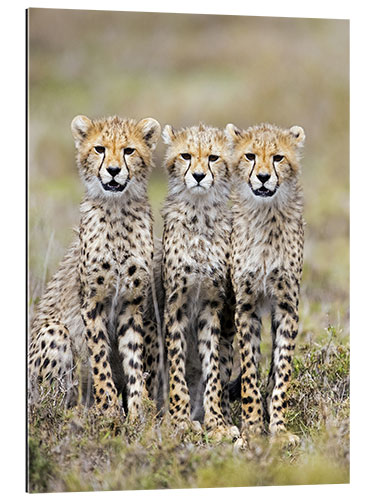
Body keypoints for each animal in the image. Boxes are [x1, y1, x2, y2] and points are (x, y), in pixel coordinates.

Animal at [28, 114, 164, 418]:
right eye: (99, 149)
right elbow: (99, 356)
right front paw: (109, 409)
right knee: (49, 403)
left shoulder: (131, 304)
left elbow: (134, 359)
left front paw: (137, 412)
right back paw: (76, 412)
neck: (118, 211)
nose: (113, 171)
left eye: (129, 150)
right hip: (54, 332)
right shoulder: (92, 302)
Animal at [225, 123, 306, 444]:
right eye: (250, 156)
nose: (262, 177)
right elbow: (249, 372)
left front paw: (279, 430)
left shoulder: (286, 307)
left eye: (278, 157)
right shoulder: (245, 309)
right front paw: (251, 431)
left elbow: (282, 368)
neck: (265, 214)